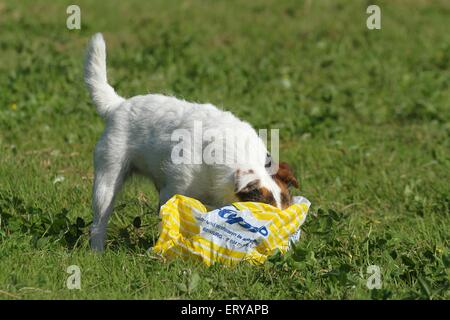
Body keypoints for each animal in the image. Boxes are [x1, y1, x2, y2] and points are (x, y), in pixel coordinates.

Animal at [84, 33, 298, 251]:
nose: (282, 249)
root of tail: (118, 105)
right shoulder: (173, 192)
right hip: (108, 176)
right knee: (99, 220)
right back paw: (97, 250)